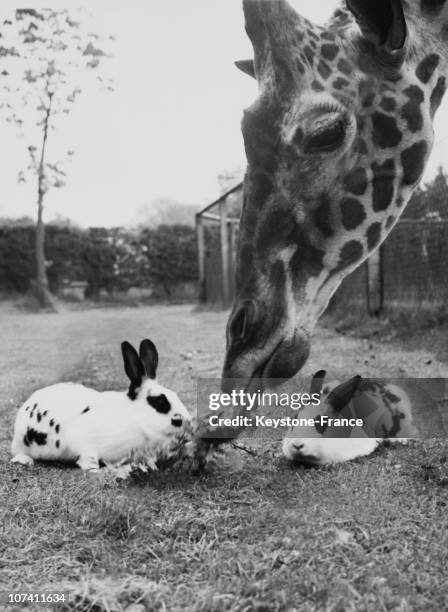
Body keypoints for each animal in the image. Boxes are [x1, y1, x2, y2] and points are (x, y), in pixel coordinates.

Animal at [11, 338, 191, 470]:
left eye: (175, 395)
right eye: (159, 401)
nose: (186, 421)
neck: (135, 419)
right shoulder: (82, 441)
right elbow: (88, 457)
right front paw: (94, 469)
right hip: (22, 442)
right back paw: (26, 460)